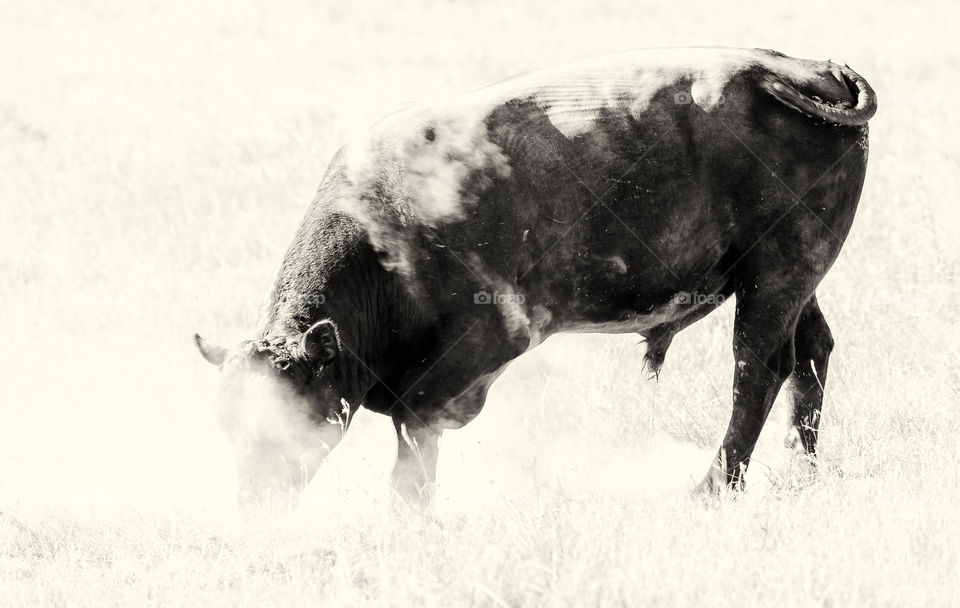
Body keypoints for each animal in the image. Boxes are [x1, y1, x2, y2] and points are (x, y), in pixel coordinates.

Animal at [194, 47, 876, 504]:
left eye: (289, 419)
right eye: (227, 424)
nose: (255, 503)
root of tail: (797, 68)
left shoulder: (475, 352)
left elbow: (413, 447)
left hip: (775, 276)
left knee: (757, 367)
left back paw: (712, 488)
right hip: (790, 282)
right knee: (809, 353)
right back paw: (799, 472)